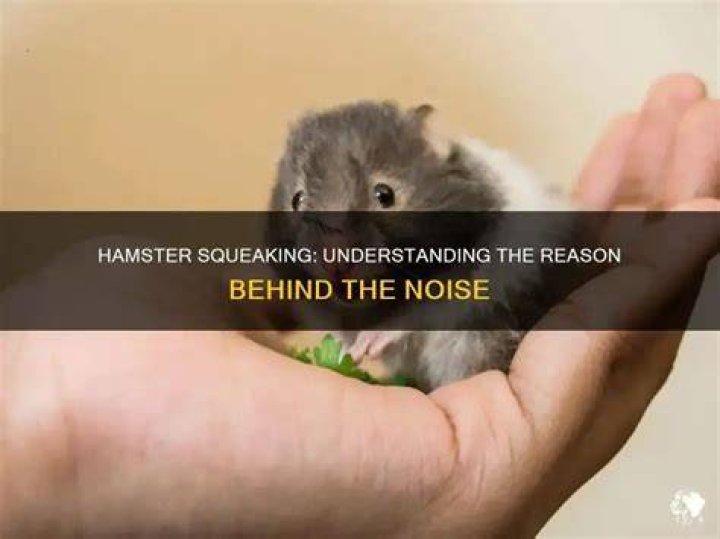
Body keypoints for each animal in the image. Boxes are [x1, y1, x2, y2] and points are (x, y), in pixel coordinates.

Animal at [269, 101, 567, 391]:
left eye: (385, 194)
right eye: (296, 199)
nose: (334, 263)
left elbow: (412, 316)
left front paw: (366, 345)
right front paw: (346, 352)